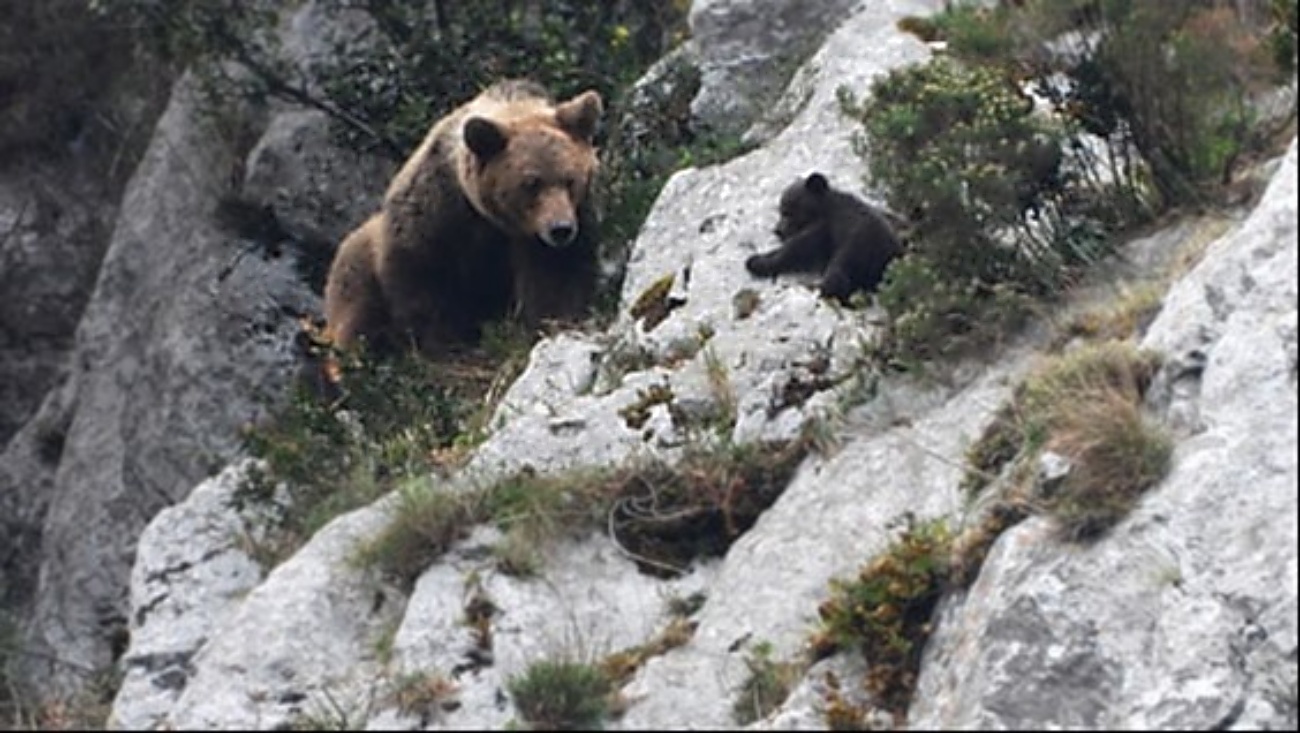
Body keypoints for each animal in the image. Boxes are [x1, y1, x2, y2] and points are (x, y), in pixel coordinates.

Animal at [324, 79, 603, 357]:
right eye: (531, 183)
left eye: (570, 179)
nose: (560, 229)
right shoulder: (438, 214)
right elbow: (426, 281)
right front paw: (444, 344)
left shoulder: (548, 233)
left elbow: (555, 277)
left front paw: (552, 322)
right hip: (356, 267)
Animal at [745, 172, 904, 303]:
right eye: (781, 210)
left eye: (787, 212)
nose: (777, 230)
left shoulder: (825, 229)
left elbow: (795, 251)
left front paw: (755, 262)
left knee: (836, 276)